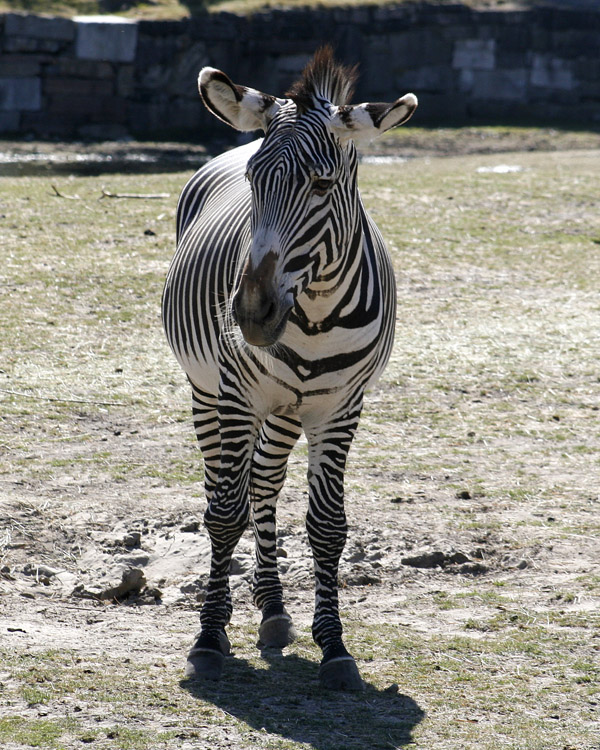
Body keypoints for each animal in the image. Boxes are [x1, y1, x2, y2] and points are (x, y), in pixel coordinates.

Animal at [162, 48, 420, 692]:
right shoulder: (236, 396)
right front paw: (208, 638)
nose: (253, 314)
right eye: (255, 181)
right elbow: (224, 515)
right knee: (223, 490)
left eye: (323, 184)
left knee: (264, 483)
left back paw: (274, 610)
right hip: (208, 393)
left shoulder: (340, 408)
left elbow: (327, 526)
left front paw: (335, 648)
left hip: (286, 408)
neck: (318, 311)